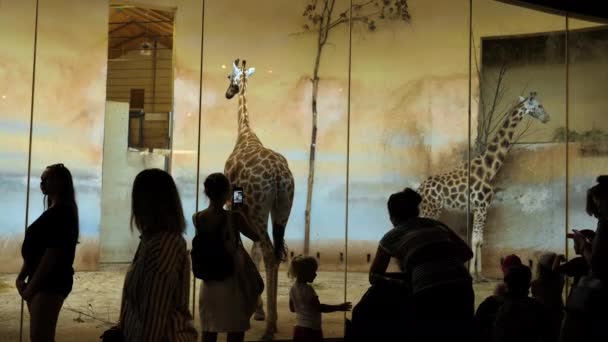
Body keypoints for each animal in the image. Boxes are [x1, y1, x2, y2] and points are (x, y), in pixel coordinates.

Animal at [223, 58, 294, 340]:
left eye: (230, 77)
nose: (228, 93)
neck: (245, 133)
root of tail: (278, 177)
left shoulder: (233, 205)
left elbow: (241, 247)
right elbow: (251, 249)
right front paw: (258, 310)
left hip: (258, 209)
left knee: (268, 252)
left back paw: (270, 327)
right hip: (282, 209)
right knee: (275, 251)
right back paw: (270, 321)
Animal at [418, 91, 552, 280]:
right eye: (539, 105)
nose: (547, 118)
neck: (488, 169)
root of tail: (419, 189)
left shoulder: (480, 208)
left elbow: (480, 241)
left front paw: (480, 274)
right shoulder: (481, 206)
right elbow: (476, 240)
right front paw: (473, 275)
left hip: (433, 209)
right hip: (431, 208)